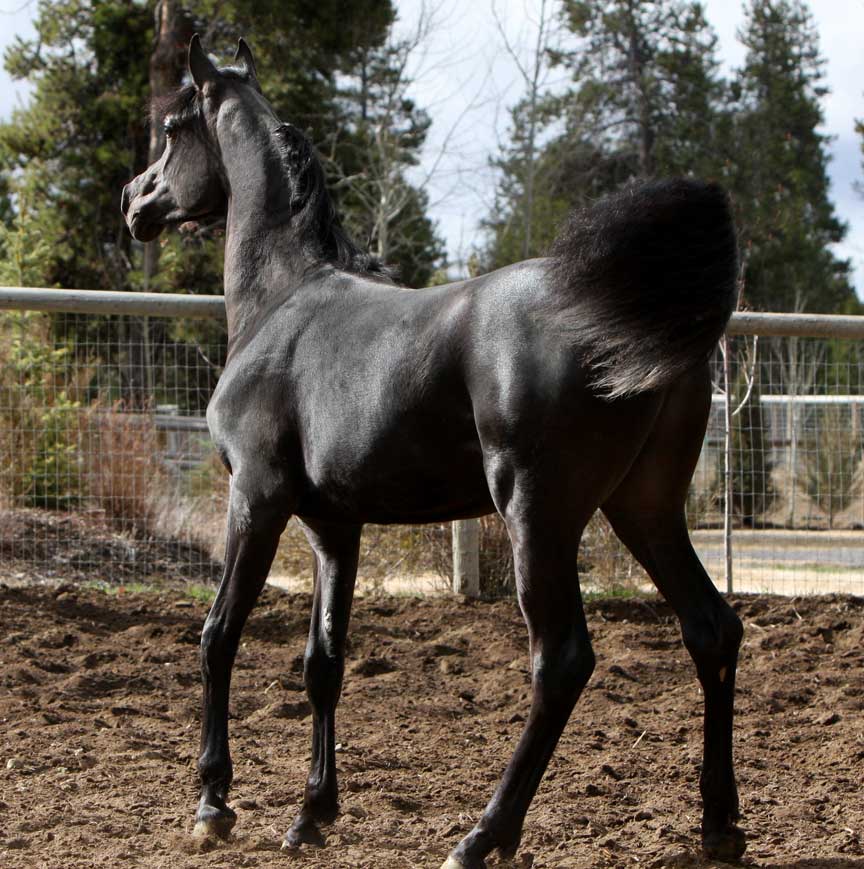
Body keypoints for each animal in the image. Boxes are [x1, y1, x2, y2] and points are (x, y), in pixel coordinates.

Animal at [121, 35, 745, 869]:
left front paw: (213, 802)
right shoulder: (333, 525)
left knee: (563, 659)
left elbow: (218, 634)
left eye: (172, 128)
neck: (282, 301)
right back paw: (719, 825)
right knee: (711, 628)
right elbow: (324, 662)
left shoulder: (256, 497)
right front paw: (311, 814)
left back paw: (481, 836)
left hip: (538, 513)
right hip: (644, 507)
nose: (135, 202)